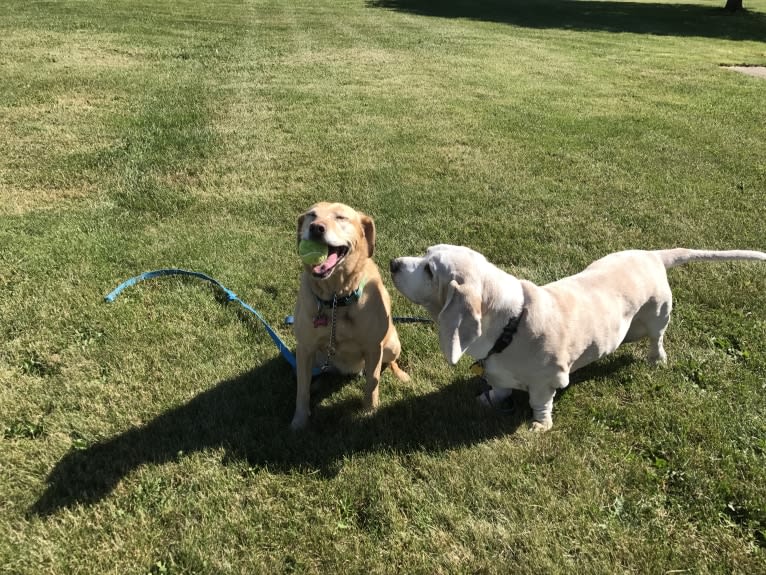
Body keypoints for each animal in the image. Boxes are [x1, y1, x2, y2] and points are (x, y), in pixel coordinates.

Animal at [292, 204, 408, 432]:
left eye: (341, 217)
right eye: (312, 214)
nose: (316, 228)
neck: (336, 298)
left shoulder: (374, 347)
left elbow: (372, 384)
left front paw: (369, 412)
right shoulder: (305, 347)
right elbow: (301, 391)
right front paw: (299, 421)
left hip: (391, 345)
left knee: (389, 363)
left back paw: (401, 375)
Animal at [392, 244, 764, 432]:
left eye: (430, 270)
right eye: (424, 253)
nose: (394, 262)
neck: (511, 324)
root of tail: (653, 255)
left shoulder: (548, 380)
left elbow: (540, 403)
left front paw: (540, 426)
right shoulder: (497, 371)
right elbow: (499, 388)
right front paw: (490, 399)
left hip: (658, 314)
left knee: (657, 339)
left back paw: (656, 360)